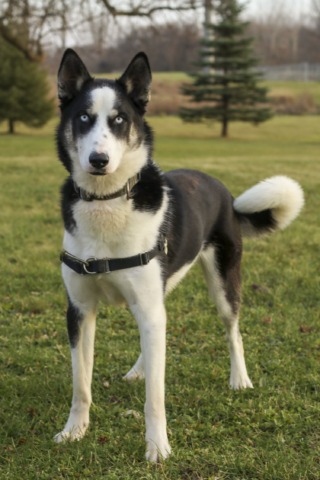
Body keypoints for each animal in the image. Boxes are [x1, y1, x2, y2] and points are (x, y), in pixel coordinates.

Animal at [55, 48, 304, 462]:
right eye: (84, 118)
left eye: (120, 120)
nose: (98, 160)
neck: (108, 201)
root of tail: (224, 192)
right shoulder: (80, 310)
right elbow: (80, 384)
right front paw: (75, 430)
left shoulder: (145, 303)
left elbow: (154, 397)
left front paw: (157, 447)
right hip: (160, 288)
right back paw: (140, 368)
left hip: (223, 282)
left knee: (232, 330)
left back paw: (240, 378)